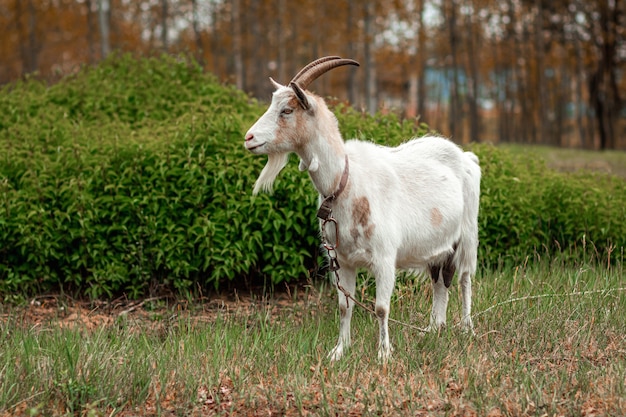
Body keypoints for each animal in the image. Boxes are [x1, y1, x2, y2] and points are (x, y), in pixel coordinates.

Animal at [243, 56, 478, 360]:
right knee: (441, 280)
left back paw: (466, 329)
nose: (248, 138)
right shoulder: (341, 260)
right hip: (439, 247)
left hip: (468, 235)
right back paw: (434, 329)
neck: (345, 182)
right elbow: (345, 306)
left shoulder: (384, 258)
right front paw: (339, 351)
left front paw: (384, 354)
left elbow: (381, 308)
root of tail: (465, 156)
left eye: (286, 109)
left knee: (464, 278)